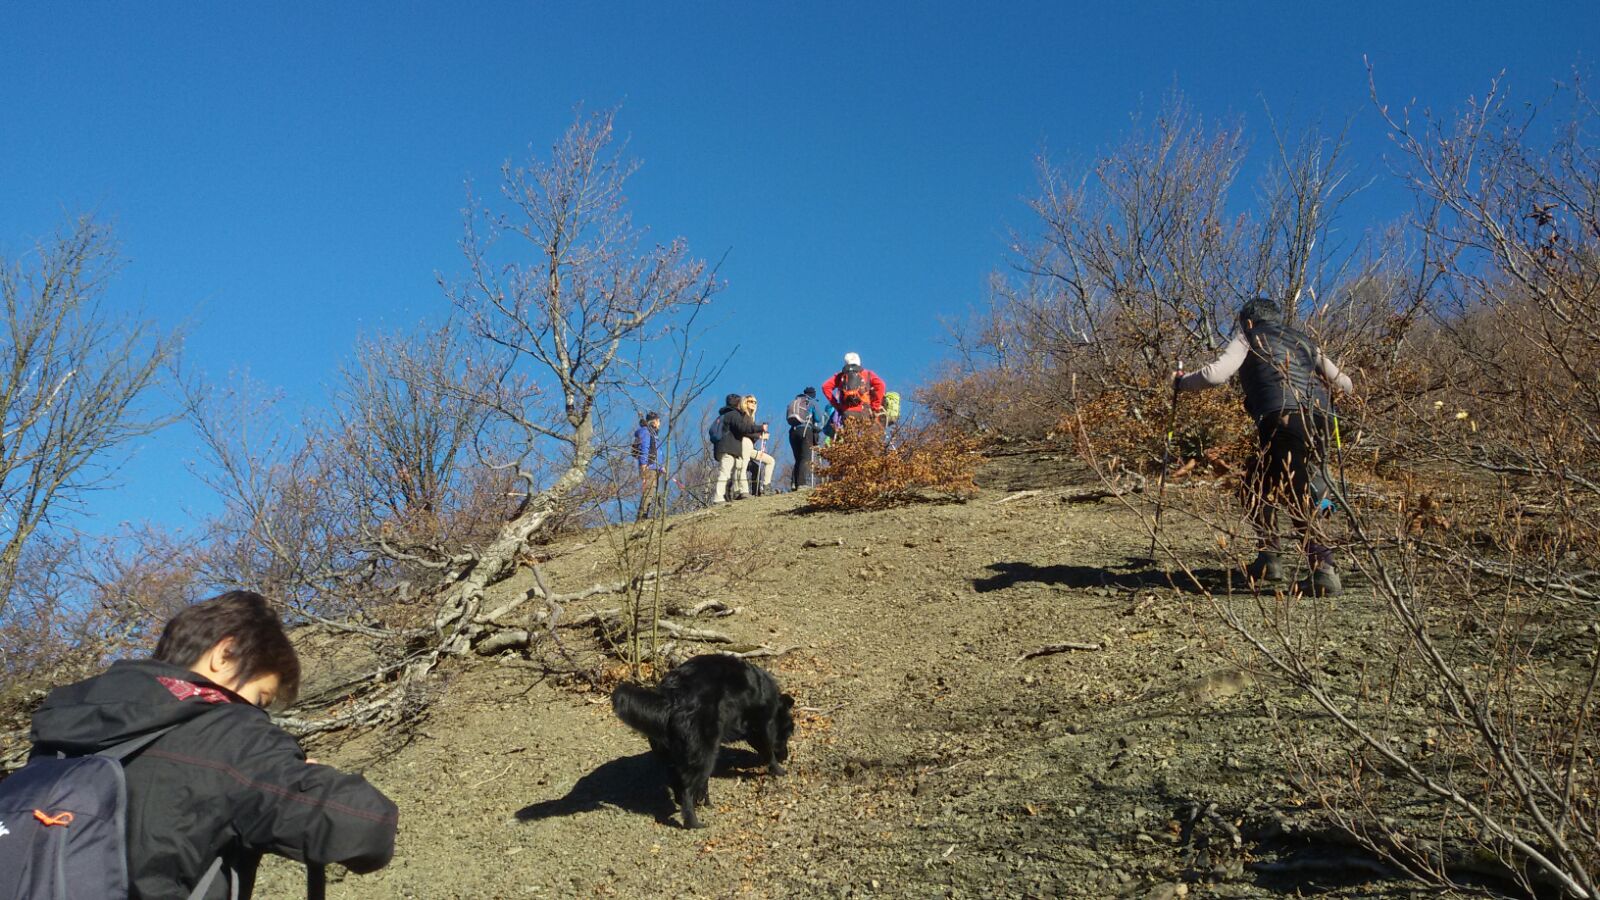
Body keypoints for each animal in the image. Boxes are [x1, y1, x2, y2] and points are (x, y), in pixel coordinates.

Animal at [608, 646, 796, 826]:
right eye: (788, 733)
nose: (786, 756)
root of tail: (671, 698)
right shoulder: (760, 727)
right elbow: (768, 752)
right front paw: (779, 770)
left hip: (676, 755)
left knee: (681, 784)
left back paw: (701, 802)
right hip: (705, 752)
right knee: (687, 789)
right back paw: (694, 822)